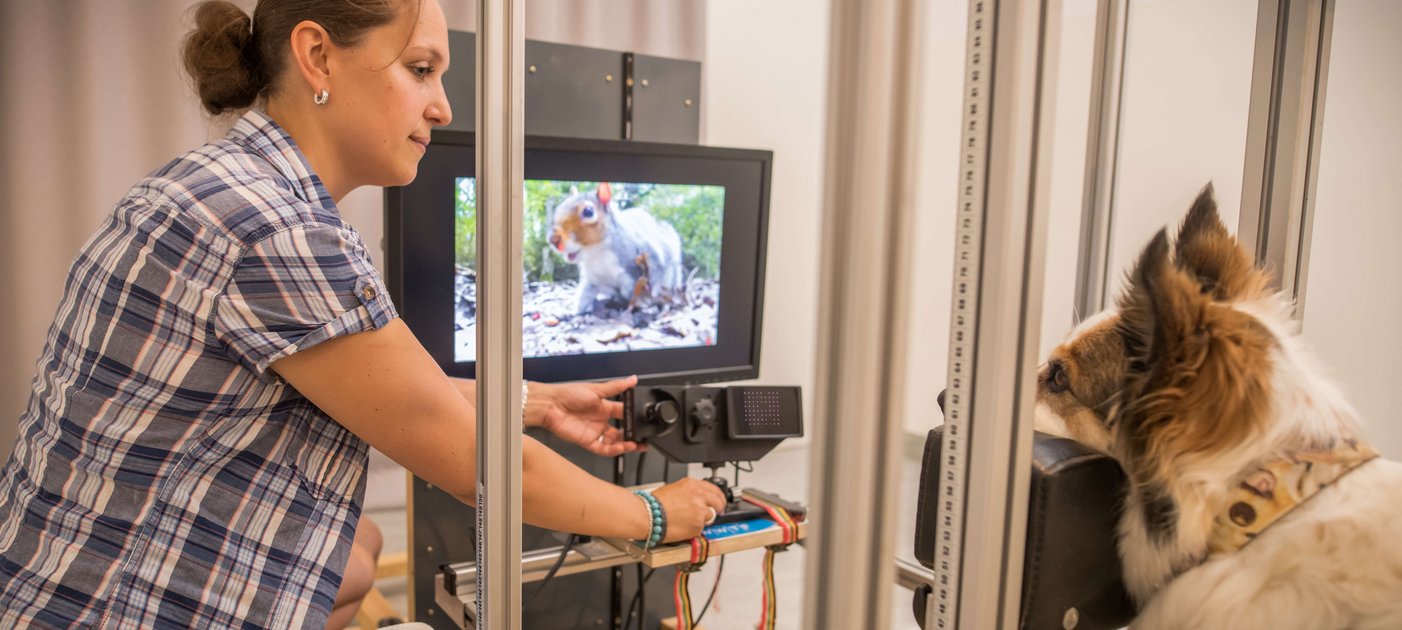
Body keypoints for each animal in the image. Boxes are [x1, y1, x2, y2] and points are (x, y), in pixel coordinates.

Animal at [543, 182, 686, 317]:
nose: (553, 240)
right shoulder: (591, 279)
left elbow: (636, 290)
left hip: (672, 275)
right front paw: (573, 313)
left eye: (588, 212)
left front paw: (639, 304)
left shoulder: (633, 270)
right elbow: (583, 296)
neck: (598, 254)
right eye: (558, 208)